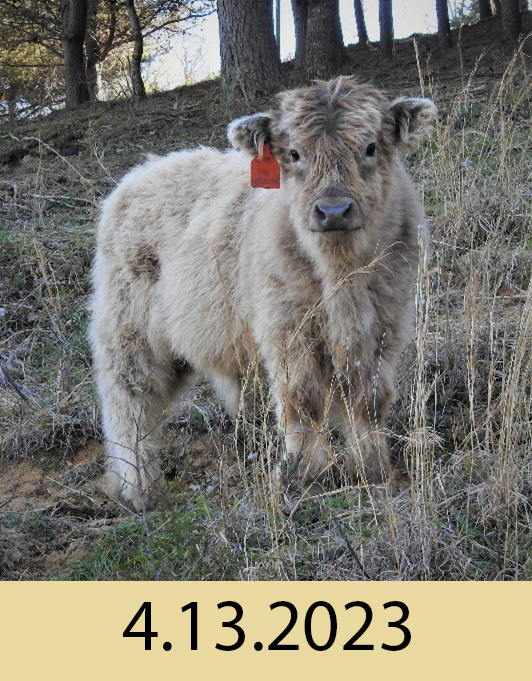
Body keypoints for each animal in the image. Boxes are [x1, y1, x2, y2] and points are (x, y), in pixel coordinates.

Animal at [90, 76, 436, 511]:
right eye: (295, 153)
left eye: (371, 147)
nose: (333, 210)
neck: (340, 275)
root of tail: (145, 169)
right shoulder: (285, 328)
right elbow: (302, 397)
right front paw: (310, 475)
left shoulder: (384, 326)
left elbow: (369, 399)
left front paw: (372, 468)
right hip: (128, 328)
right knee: (128, 400)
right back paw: (137, 488)